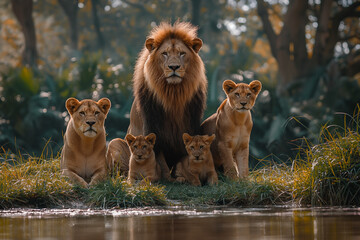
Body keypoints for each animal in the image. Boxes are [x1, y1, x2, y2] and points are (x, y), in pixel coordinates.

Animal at [129, 21, 208, 179]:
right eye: (164, 53)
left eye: (182, 53)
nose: (174, 67)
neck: (173, 95)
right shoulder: (153, 126)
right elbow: (159, 159)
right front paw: (165, 178)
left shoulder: (191, 124)